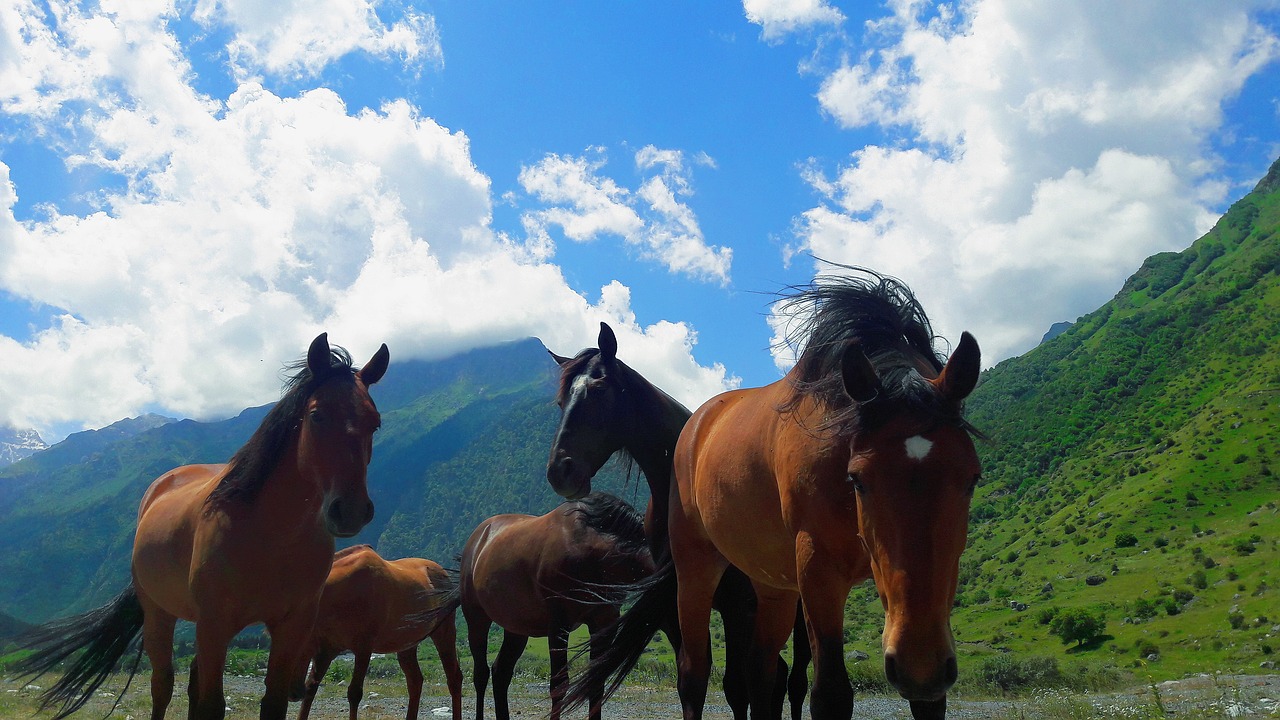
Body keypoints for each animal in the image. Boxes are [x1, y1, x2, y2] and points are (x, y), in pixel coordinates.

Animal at [15, 333, 386, 717]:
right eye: (317, 416)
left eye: (375, 423)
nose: (351, 510)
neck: (271, 535)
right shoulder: (214, 624)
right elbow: (210, 704)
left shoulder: (292, 628)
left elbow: (272, 703)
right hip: (159, 614)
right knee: (162, 685)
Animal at [294, 543, 465, 717]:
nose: (293, 693)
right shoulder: (325, 652)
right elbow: (310, 689)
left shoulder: (363, 649)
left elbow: (354, 693)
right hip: (407, 645)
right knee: (415, 681)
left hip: (444, 633)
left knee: (454, 678)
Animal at [463, 489, 655, 717]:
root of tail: (479, 538)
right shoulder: (558, 625)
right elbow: (559, 685)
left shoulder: (604, 622)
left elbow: (596, 683)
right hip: (476, 618)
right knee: (480, 674)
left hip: (516, 628)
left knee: (501, 672)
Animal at [550, 324, 808, 717]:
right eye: (561, 402)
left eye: (600, 388)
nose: (559, 471)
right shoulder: (676, 604)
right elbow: (693, 681)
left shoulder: (738, 605)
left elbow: (739, 685)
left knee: (794, 680)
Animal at [670, 269, 977, 717]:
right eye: (858, 480)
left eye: (973, 478)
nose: (918, 662)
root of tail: (699, 422)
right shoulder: (819, 571)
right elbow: (830, 693)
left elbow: (930, 702)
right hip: (695, 569)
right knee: (693, 673)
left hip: (774, 586)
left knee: (761, 671)